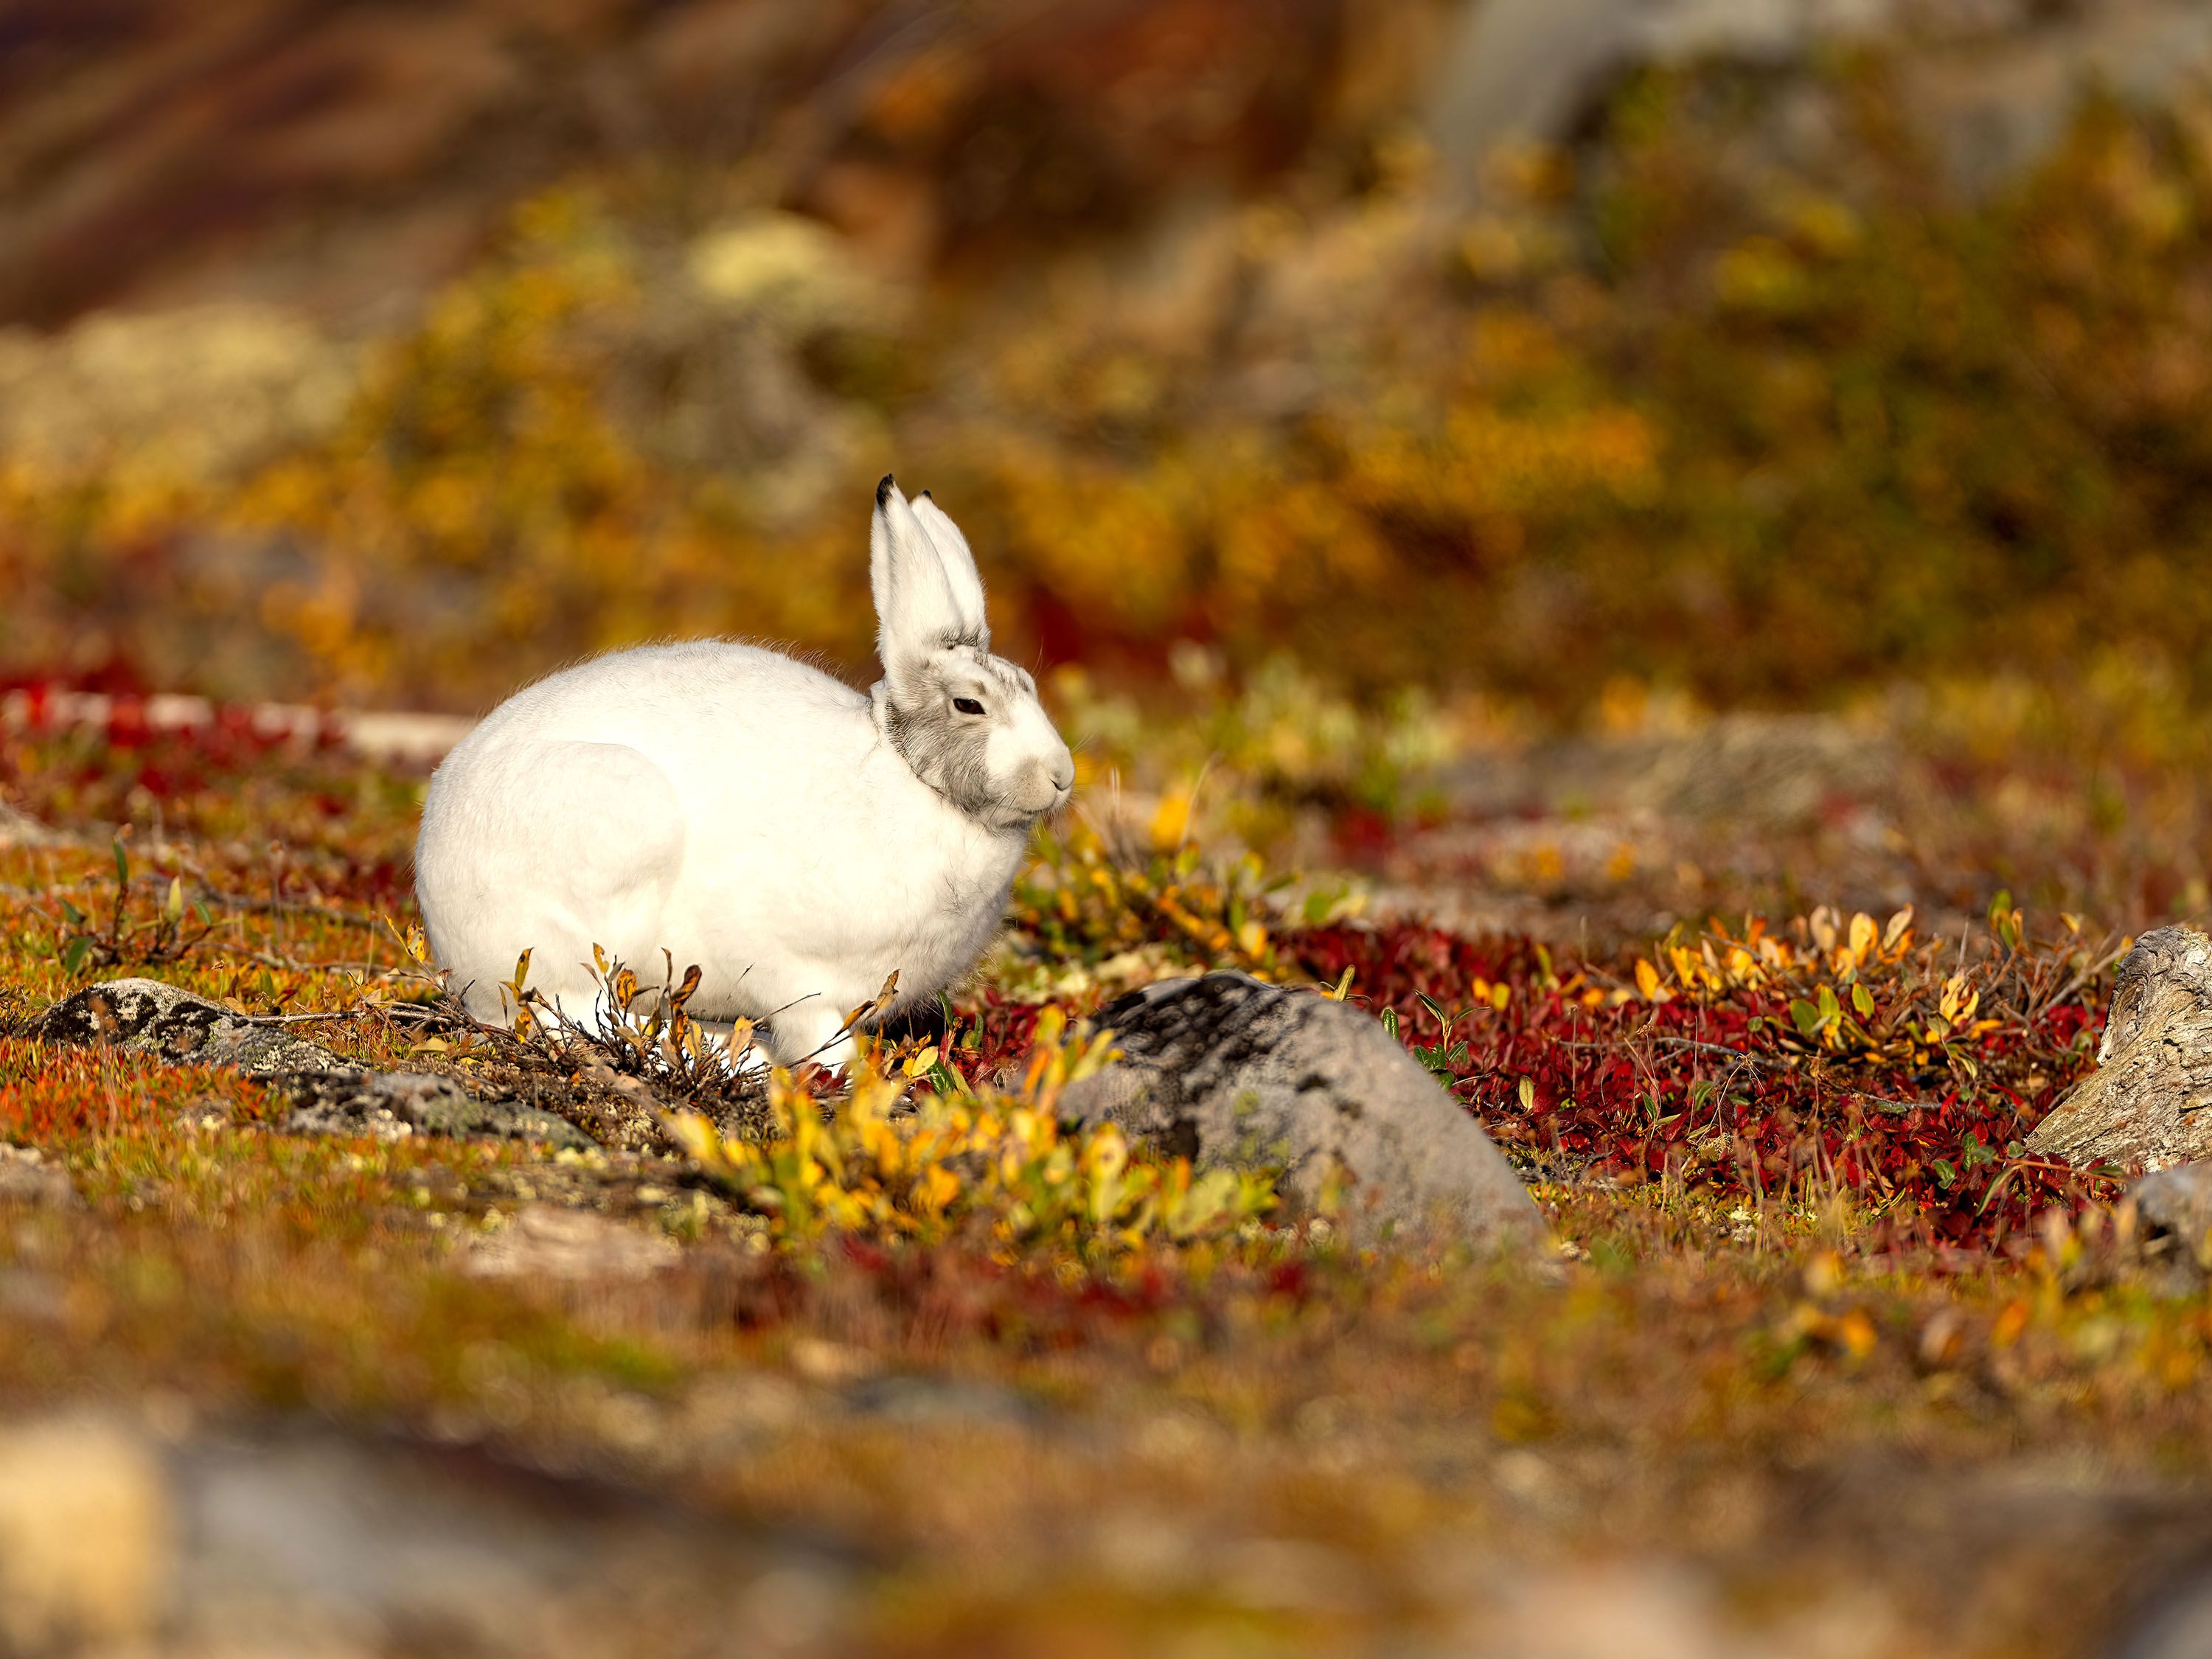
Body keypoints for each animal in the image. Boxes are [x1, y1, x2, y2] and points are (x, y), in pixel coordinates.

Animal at [414, 476, 1074, 1069]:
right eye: (970, 705)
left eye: (1029, 683)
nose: (1062, 776)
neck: (909, 776)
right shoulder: (792, 972)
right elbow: (820, 1037)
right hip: (603, 866)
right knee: (574, 1011)